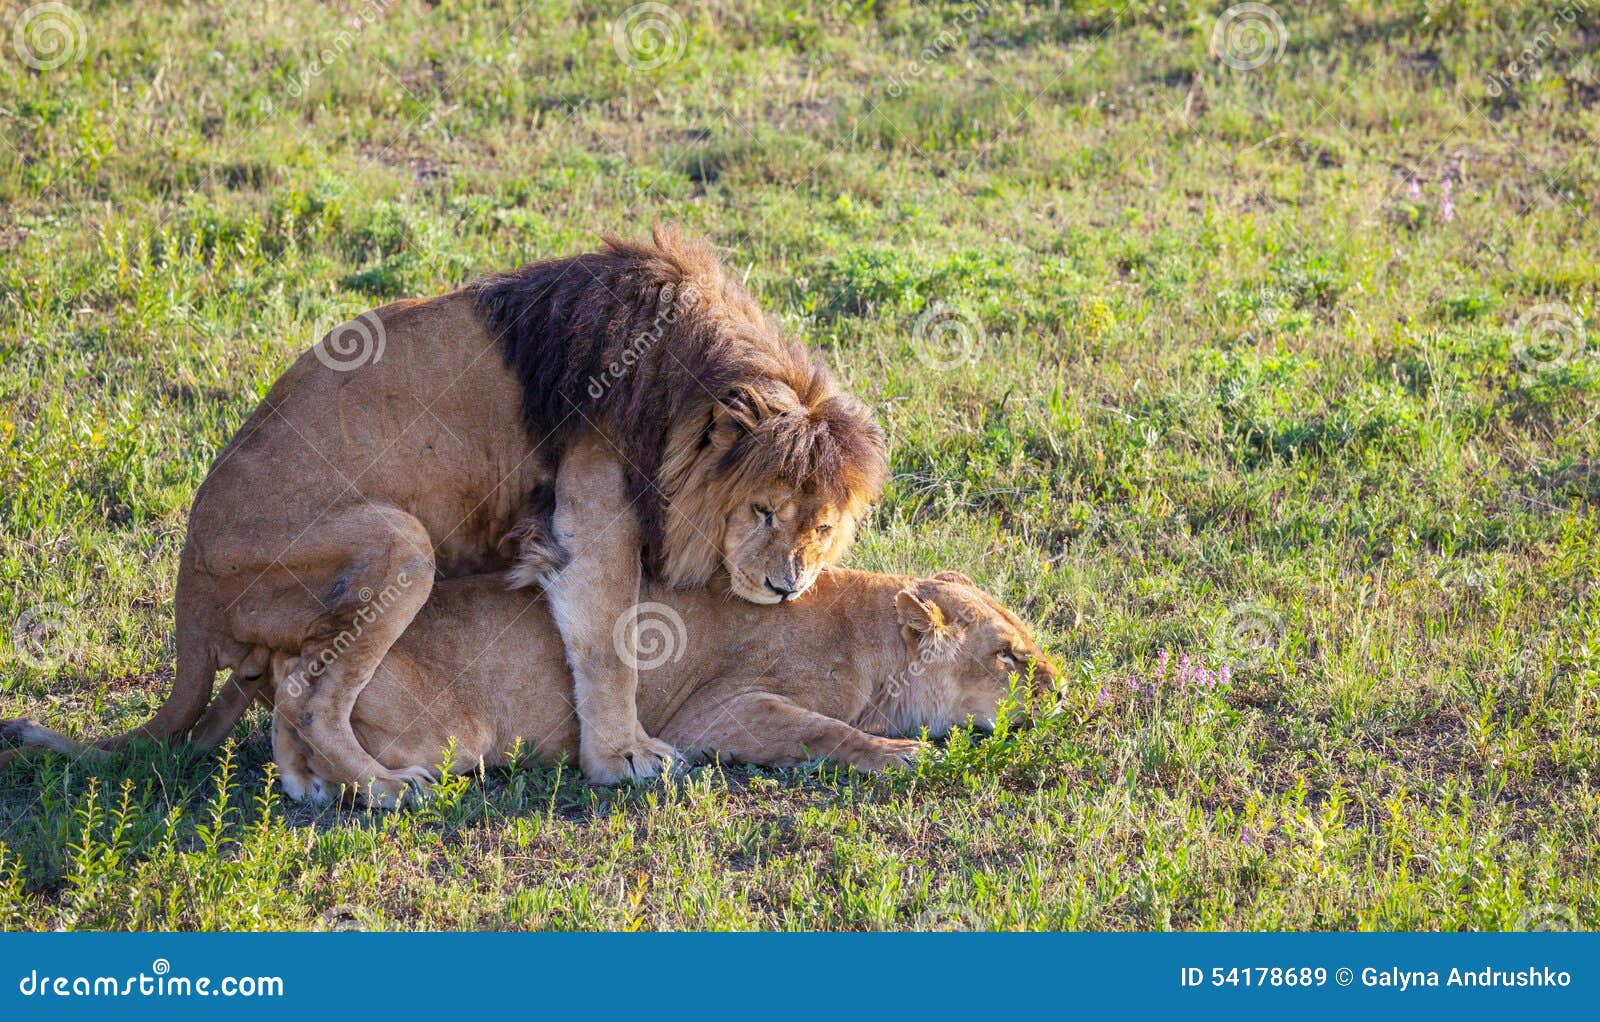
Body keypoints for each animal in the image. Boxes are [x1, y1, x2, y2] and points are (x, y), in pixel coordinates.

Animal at [9, 227, 889, 796]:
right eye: (763, 511)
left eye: (819, 524)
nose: (786, 586)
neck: (680, 382)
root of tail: (187, 589)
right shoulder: (587, 518)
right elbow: (609, 647)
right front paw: (625, 760)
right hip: (400, 541)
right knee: (311, 697)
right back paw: (385, 788)